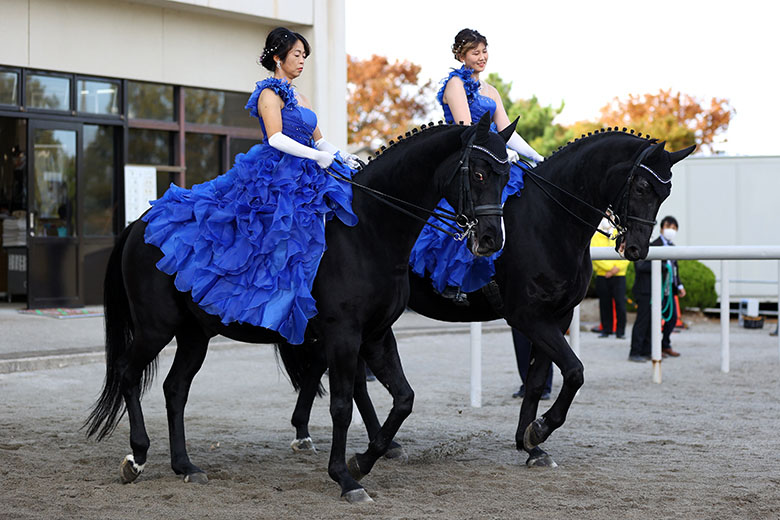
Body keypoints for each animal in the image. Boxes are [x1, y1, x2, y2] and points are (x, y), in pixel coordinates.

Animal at [85, 111, 516, 502]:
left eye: (506, 175)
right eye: (479, 174)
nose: (491, 239)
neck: (368, 230)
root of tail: (140, 223)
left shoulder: (376, 336)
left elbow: (404, 399)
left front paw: (363, 460)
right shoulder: (343, 335)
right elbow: (342, 406)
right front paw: (345, 478)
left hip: (195, 335)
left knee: (175, 390)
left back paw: (185, 466)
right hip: (156, 328)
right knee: (126, 373)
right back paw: (137, 457)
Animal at [280, 129, 696, 472]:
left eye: (665, 193)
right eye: (641, 187)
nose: (637, 248)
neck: (550, 219)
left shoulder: (557, 317)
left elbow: (537, 380)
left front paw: (530, 443)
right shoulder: (529, 317)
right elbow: (575, 371)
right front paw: (540, 430)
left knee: (331, 369)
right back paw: (312, 434)